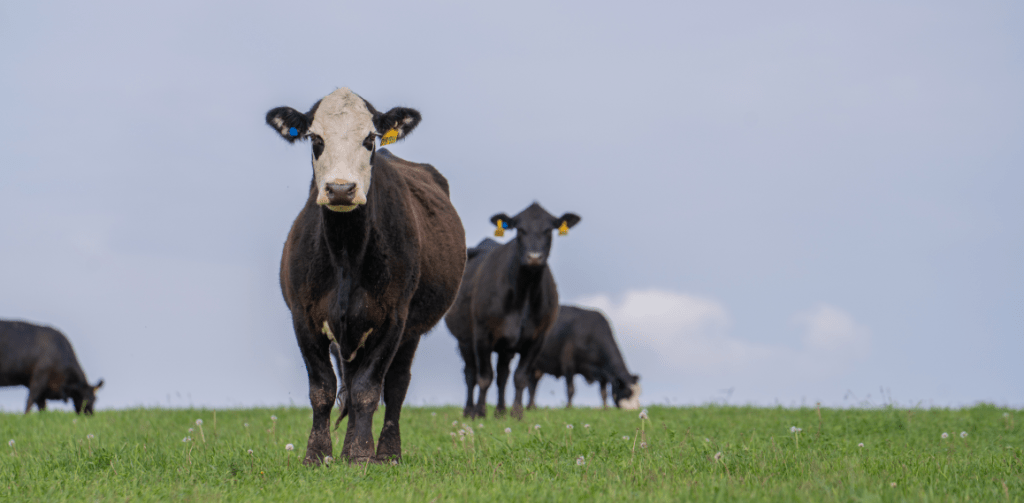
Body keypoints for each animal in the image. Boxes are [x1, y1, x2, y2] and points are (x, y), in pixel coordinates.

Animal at [266, 87, 466, 465]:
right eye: (315, 138)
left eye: (370, 139)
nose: (341, 189)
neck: (345, 252)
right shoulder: (304, 317)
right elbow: (322, 389)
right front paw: (318, 455)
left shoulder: (392, 319)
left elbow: (367, 390)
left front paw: (360, 455)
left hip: (410, 331)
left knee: (396, 386)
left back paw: (386, 453)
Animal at [444, 203, 580, 419]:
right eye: (520, 229)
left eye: (548, 230)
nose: (534, 257)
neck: (523, 295)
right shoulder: (482, 335)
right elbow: (485, 376)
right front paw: (480, 411)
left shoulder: (537, 339)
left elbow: (520, 377)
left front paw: (516, 413)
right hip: (464, 339)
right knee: (470, 373)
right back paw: (469, 410)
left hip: (505, 346)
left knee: (503, 375)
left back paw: (500, 411)